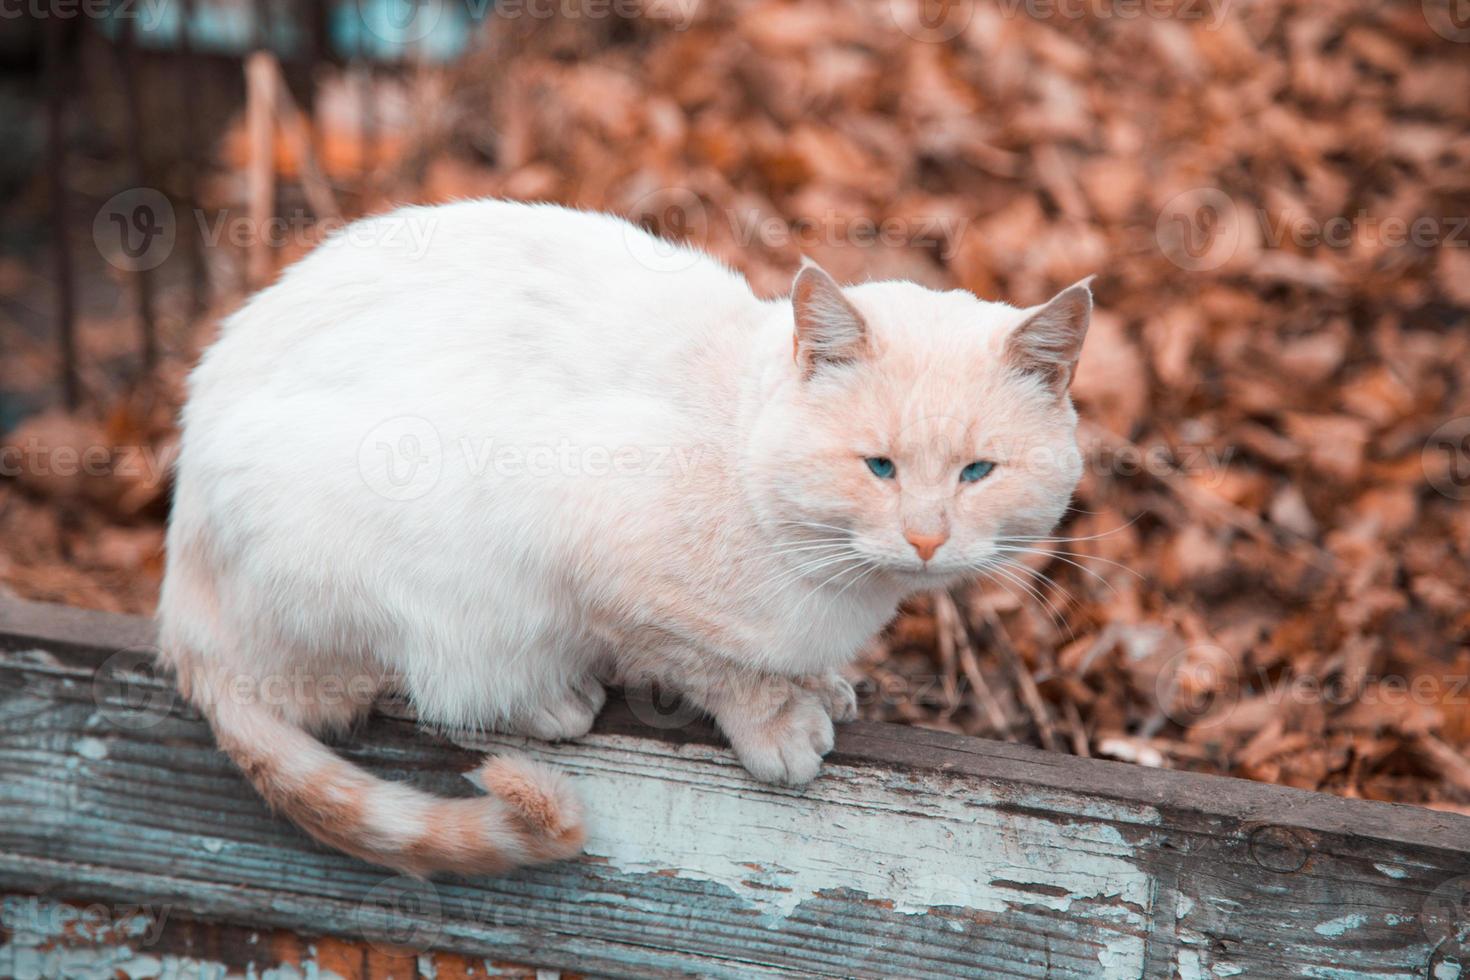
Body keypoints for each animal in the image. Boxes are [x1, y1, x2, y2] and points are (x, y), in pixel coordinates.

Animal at [158, 196, 1093, 875]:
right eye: (880, 468)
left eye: (977, 473)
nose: (928, 541)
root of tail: (180, 616)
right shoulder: (593, 554)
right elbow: (707, 662)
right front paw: (779, 722)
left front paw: (821, 685)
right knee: (401, 683)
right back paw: (548, 699)